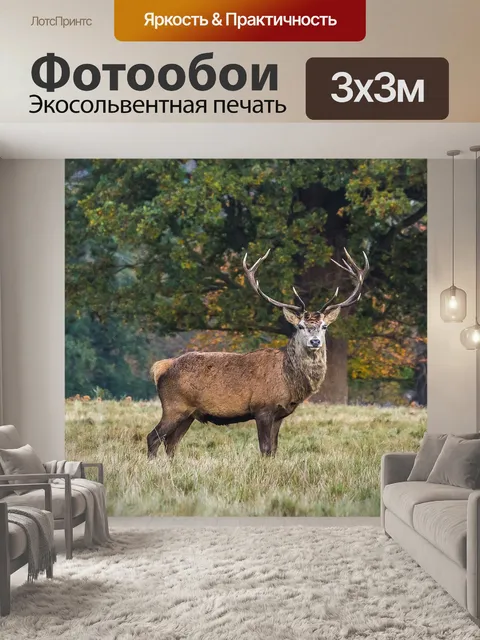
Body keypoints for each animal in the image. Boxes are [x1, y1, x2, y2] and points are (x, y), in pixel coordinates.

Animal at [147, 248, 369, 459]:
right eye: (300, 326)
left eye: (324, 326)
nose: (315, 341)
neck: (288, 379)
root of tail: (160, 368)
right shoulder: (262, 408)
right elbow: (265, 448)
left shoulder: (279, 414)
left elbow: (274, 449)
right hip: (174, 406)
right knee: (153, 437)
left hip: (190, 413)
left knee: (171, 443)